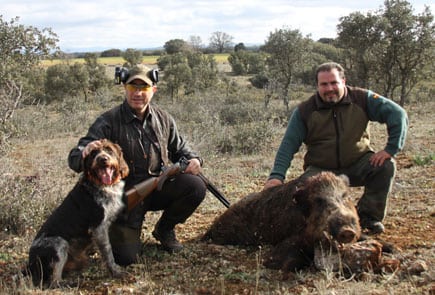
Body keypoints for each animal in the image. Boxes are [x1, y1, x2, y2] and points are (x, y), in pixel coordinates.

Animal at [27, 139, 129, 290]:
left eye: (109, 150)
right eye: (93, 153)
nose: (103, 159)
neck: (102, 185)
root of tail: (29, 264)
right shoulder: (98, 227)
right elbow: (108, 251)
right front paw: (115, 271)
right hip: (59, 244)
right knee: (54, 281)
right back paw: (71, 283)